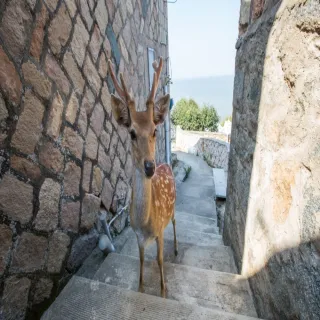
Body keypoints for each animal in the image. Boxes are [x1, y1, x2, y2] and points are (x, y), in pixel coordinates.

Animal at [108, 57, 178, 298]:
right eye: (132, 133)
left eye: (155, 130)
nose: (150, 167)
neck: (146, 222)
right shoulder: (137, 236)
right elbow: (140, 261)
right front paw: (140, 287)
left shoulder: (159, 231)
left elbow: (159, 260)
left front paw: (164, 291)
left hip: (174, 209)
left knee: (175, 222)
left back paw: (176, 249)